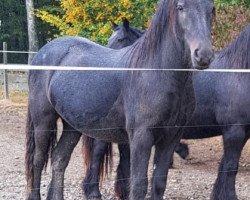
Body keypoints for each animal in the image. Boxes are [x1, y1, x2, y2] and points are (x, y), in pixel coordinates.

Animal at [24, 0, 214, 200]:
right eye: (180, 7)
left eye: (212, 9)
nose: (203, 55)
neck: (156, 72)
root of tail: (42, 53)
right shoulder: (141, 137)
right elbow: (138, 185)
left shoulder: (171, 137)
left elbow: (159, 184)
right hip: (43, 120)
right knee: (38, 160)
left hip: (72, 126)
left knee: (59, 158)